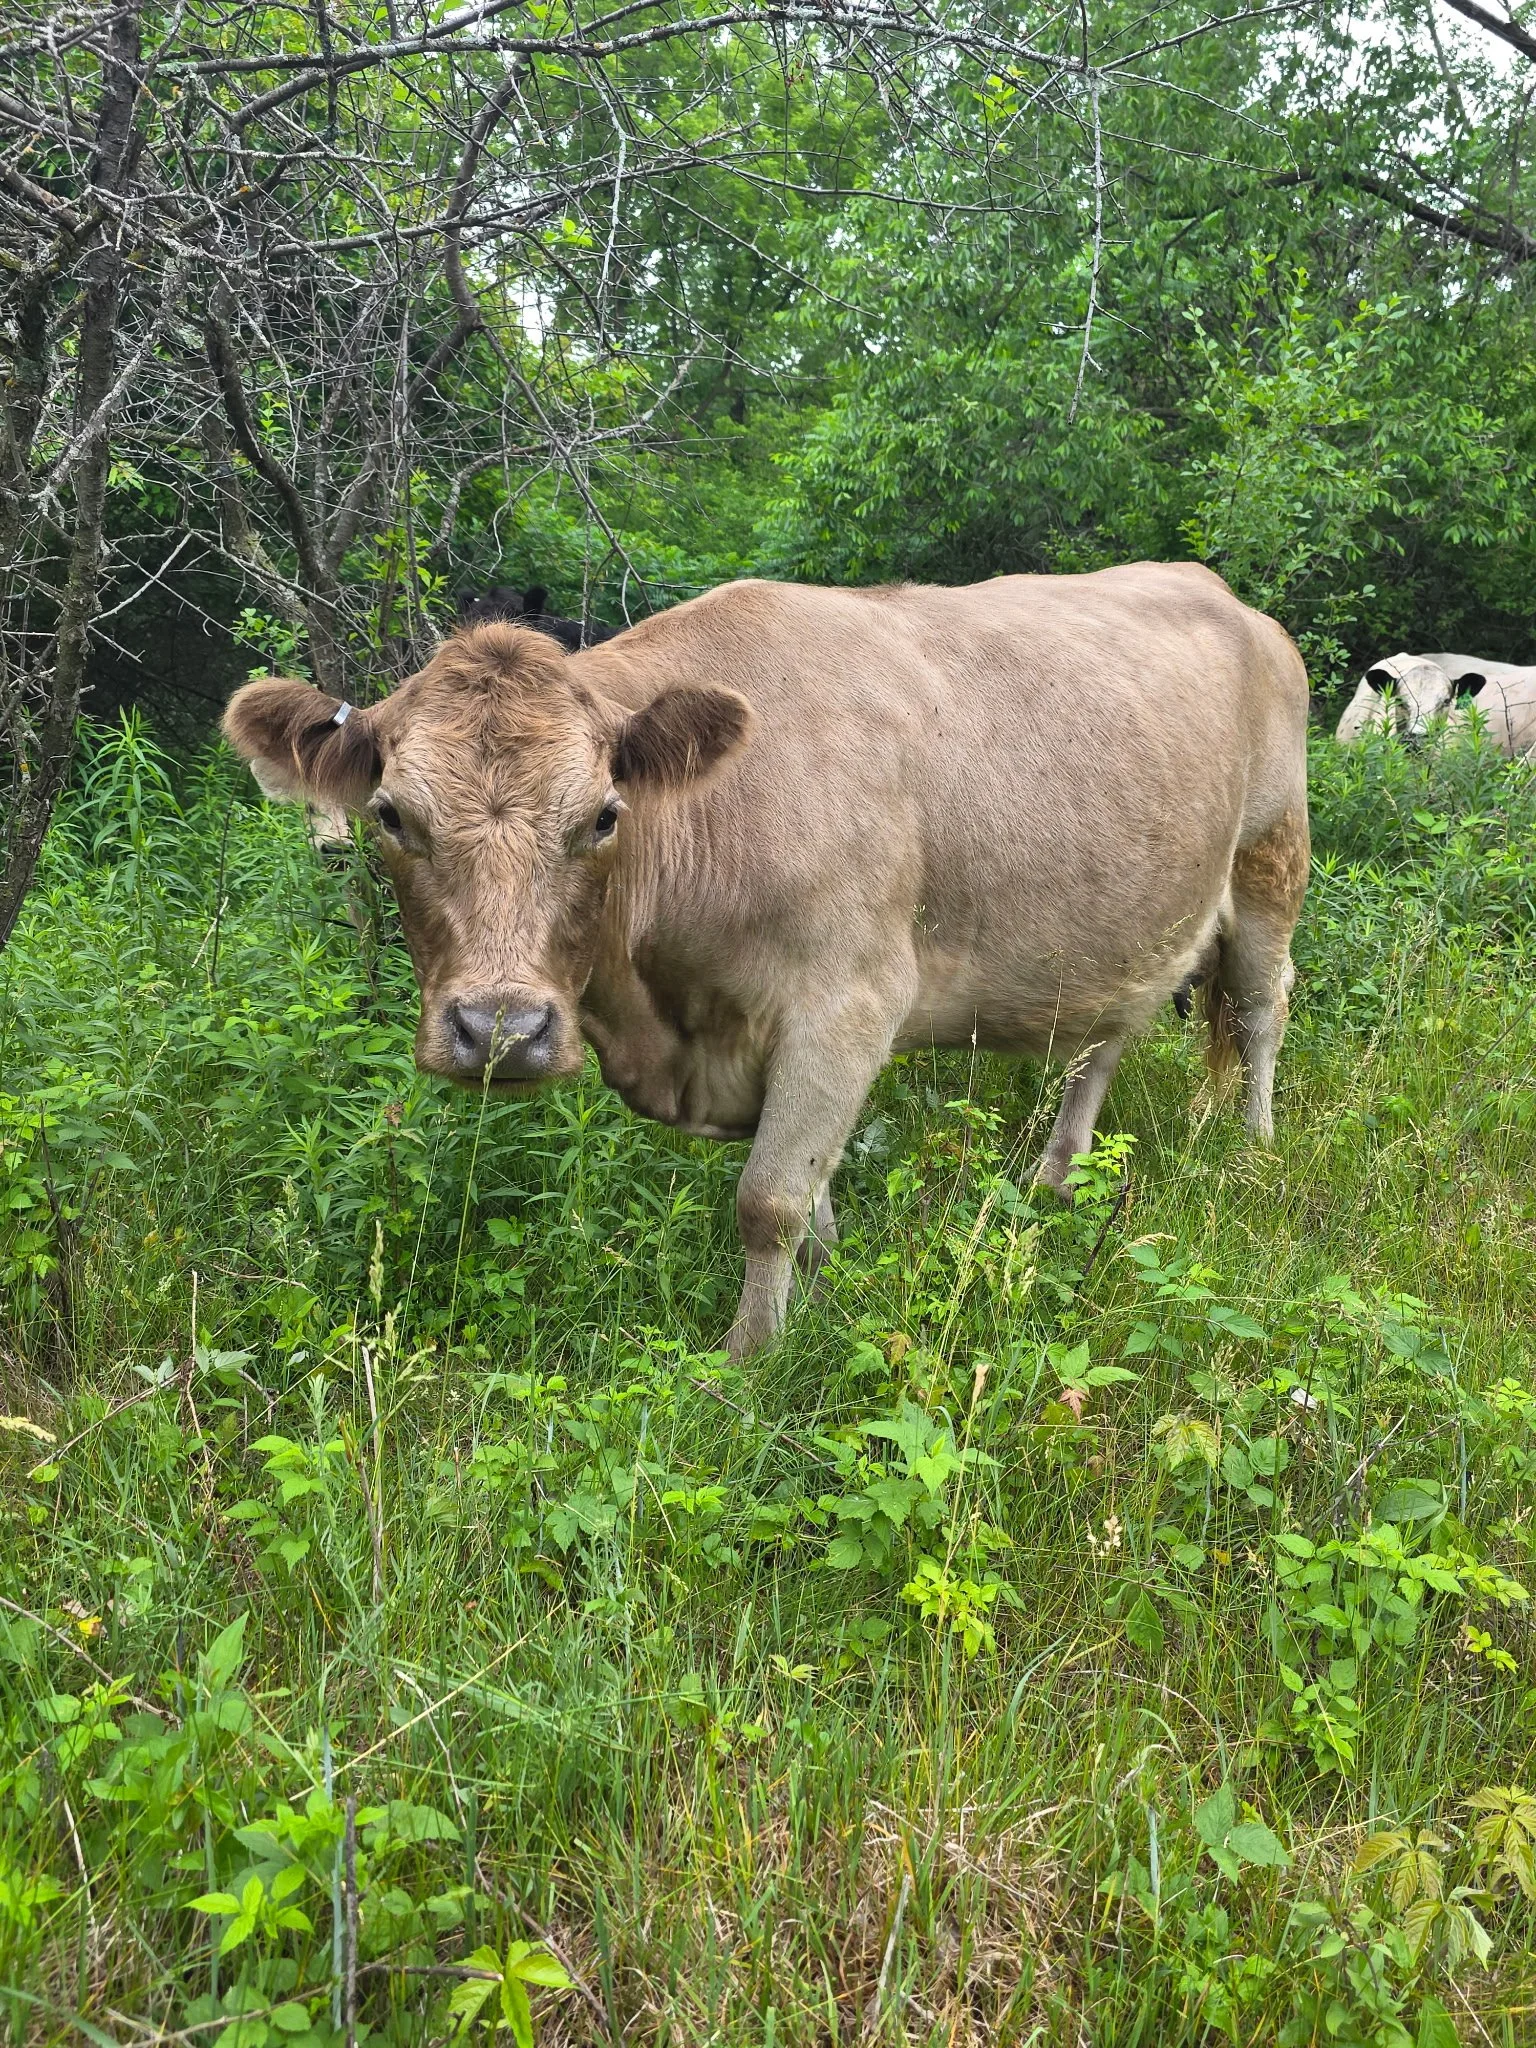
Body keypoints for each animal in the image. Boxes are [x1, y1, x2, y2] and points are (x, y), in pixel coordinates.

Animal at [223, 566, 1310, 1356]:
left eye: (604, 816)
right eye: (391, 816)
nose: (501, 1029)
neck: (670, 1024)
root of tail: (1223, 591)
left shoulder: (847, 1004)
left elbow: (769, 1200)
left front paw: (749, 1360)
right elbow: (812, 1202)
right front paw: (820, 1302)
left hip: (1272, 855)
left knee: (1262, 1008)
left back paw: (1253, 1147)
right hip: (1132, 921)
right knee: (1107, 1038)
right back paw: (1055, 1177)